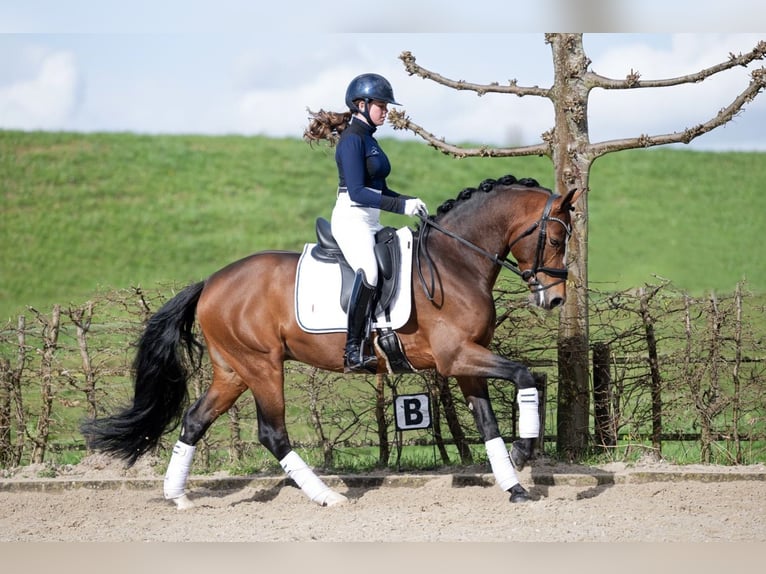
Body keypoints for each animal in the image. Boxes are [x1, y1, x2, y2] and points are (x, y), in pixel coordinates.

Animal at [81, 174, 584, 508]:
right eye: (557, 239)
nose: (555, 298)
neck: (455, 261)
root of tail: (210, 283)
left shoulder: (466, 361)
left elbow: (488, 421)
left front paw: (514, 483)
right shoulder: (457, 356)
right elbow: (525, 374)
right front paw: (525, 450)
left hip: (233, 371)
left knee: (193, 420)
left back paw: (177, 496)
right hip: (263, 367)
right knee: (272, 432)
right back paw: (325, 496)